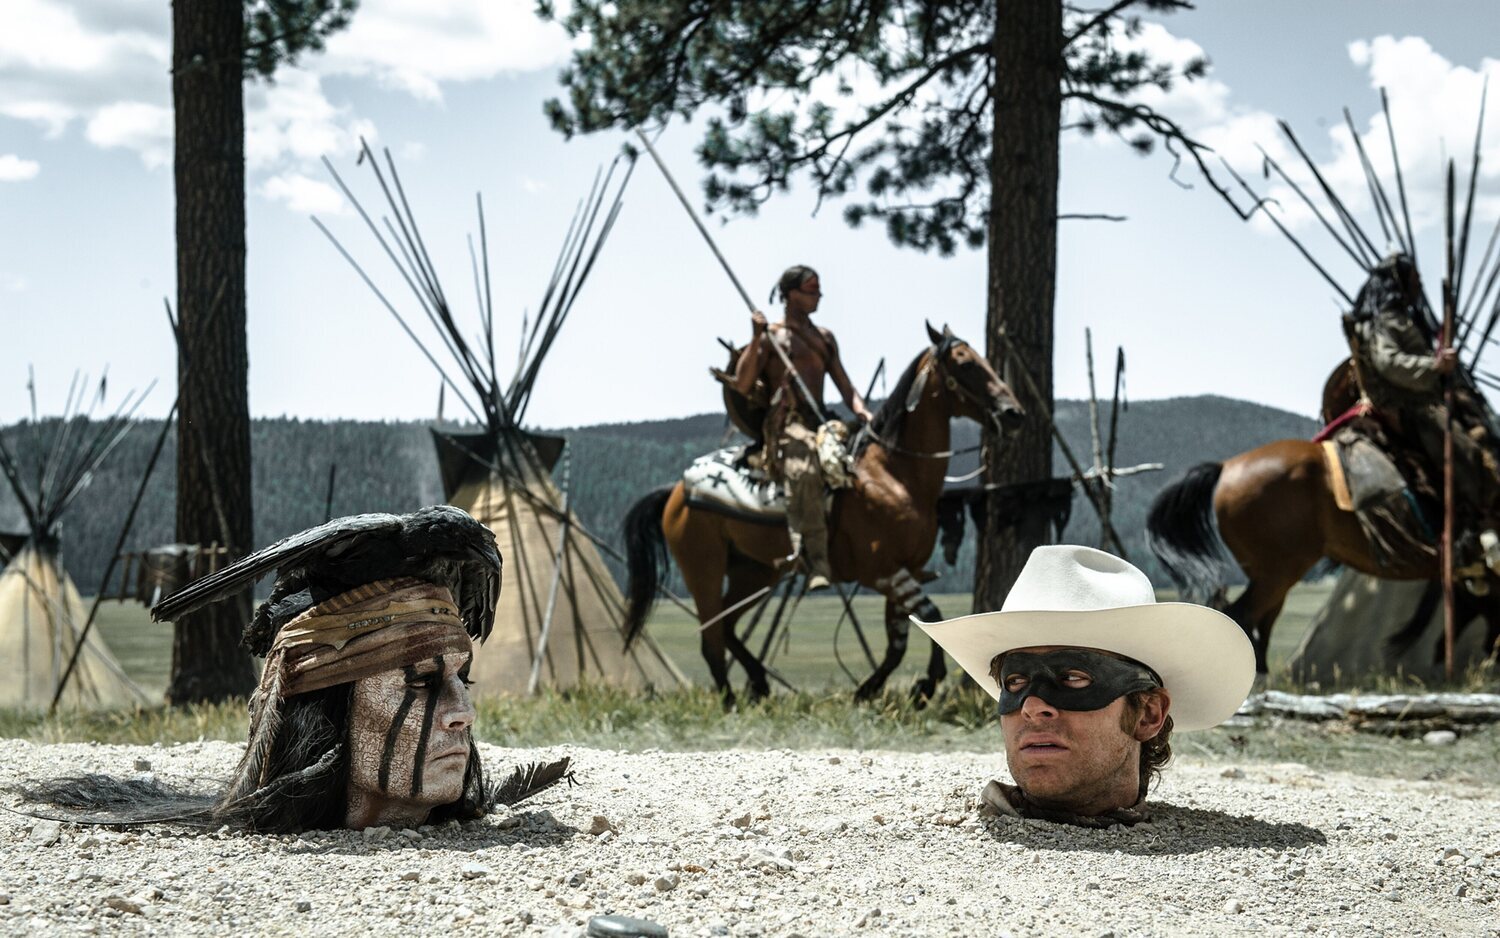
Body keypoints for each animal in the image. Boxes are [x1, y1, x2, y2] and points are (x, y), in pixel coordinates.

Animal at [618, 321, 1020, 702]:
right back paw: (731, 699)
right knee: (712, 638)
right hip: (704, 569)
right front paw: (921, 687)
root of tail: (676, 490)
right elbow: (930, 617)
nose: (1013, 412)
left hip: (755, 572)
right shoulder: (883, 572)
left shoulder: (905, 570)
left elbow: (899, 640)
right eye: (966, 363)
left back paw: (759, 683)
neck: (893, 474)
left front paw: (874, 690)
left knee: (728, 627)